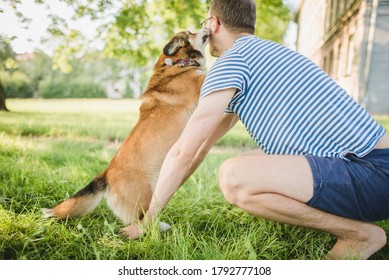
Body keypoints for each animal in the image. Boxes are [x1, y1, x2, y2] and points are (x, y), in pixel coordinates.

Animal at [42, 28, 211, 234]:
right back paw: (157, 229)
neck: (178, 63)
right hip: (144, 197)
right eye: (191, 32)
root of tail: (105, 174)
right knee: (140, 221)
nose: (207, 27)